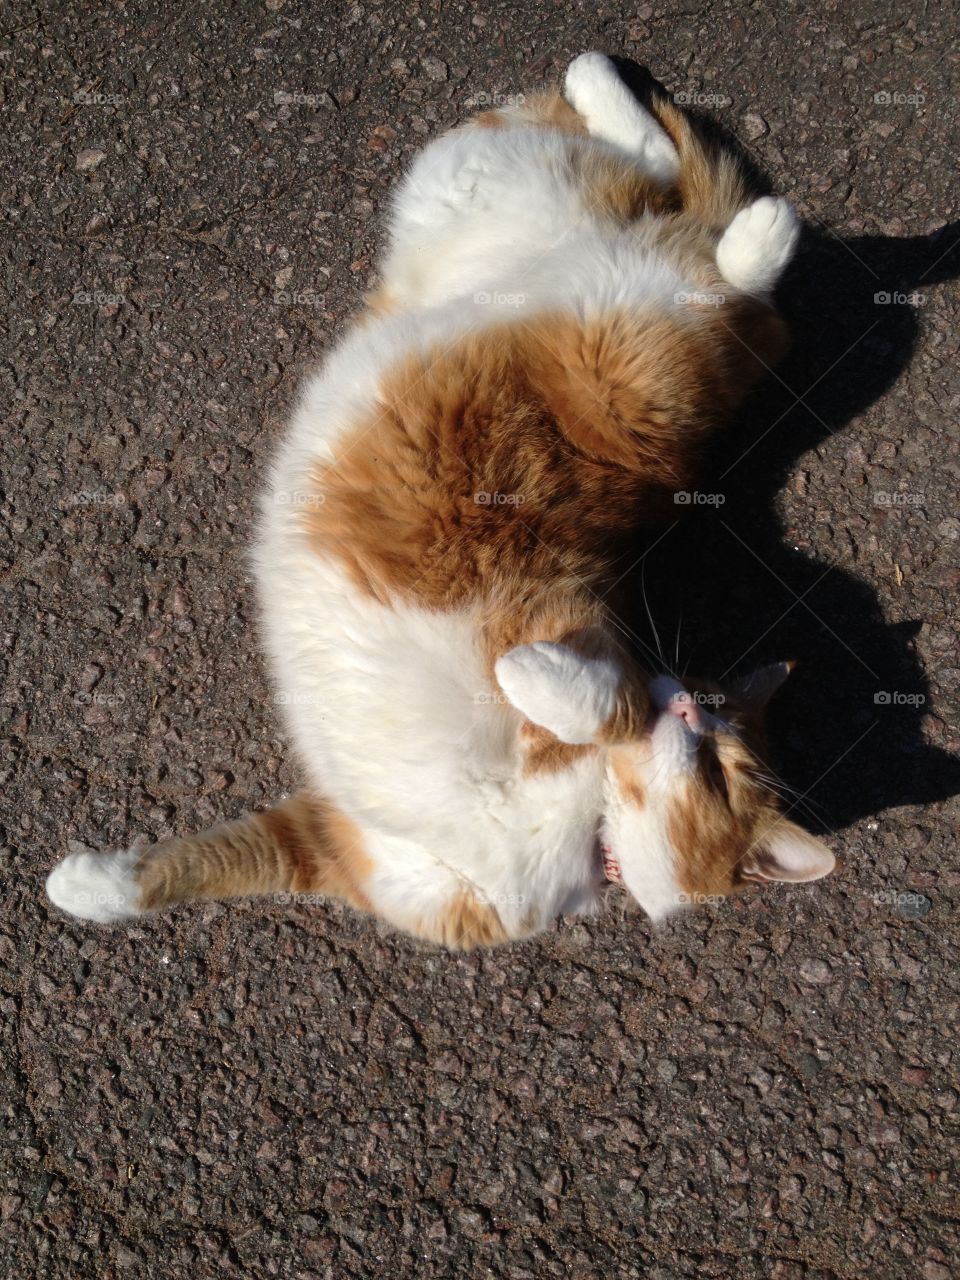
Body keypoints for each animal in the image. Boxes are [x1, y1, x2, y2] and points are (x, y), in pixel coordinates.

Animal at [48, 52, 839, 952]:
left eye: (720, 769)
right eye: (710, 733)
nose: (685, 708)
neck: (587, 830)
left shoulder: (339, 840)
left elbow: (602, 700)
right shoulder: (344, 831)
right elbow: (192, 868)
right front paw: (86, 887)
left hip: (618, 337)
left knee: (696, 233)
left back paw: (712, 190)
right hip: (604, 335)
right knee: (690, 213)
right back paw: (692, 163)